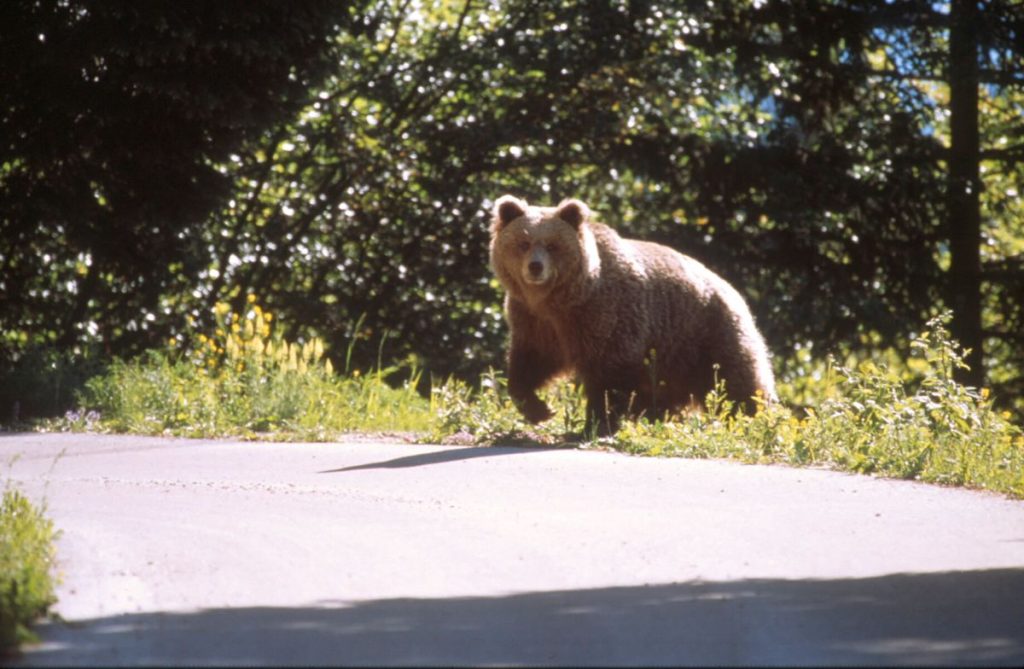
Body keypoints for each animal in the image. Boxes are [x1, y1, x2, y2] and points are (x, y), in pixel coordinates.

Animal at [489, 194, 777, 436]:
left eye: (552, 245)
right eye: (523, 242)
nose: (535, 267)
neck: (560, 300)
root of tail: (734, 291)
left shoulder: (605, 315)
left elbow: (609, 373)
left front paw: (594, 424)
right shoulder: (535, 321)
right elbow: (529, 363)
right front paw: (539, 409)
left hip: (707, 333)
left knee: (739, 381)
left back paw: (756, 420)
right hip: (674, 357)